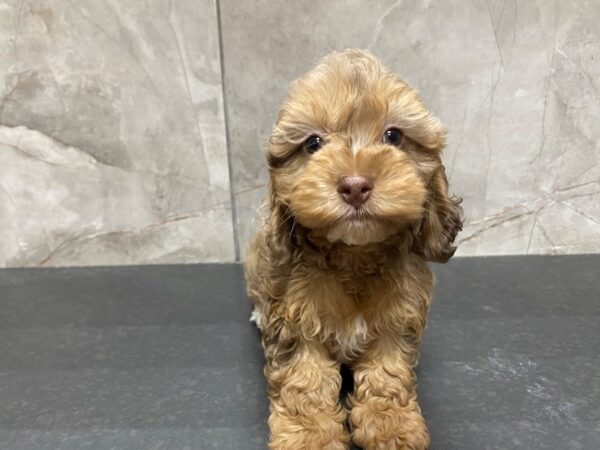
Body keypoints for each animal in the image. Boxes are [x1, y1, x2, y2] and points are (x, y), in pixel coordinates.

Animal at [245, 50, 464, 450]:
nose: (355, 185)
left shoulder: (397, 317)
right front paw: (311, 435)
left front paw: (391, 425)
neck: (353, 254)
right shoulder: (296, 321)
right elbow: (305, 381)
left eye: (393, 136)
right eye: (313, 144)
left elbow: (387, 373)